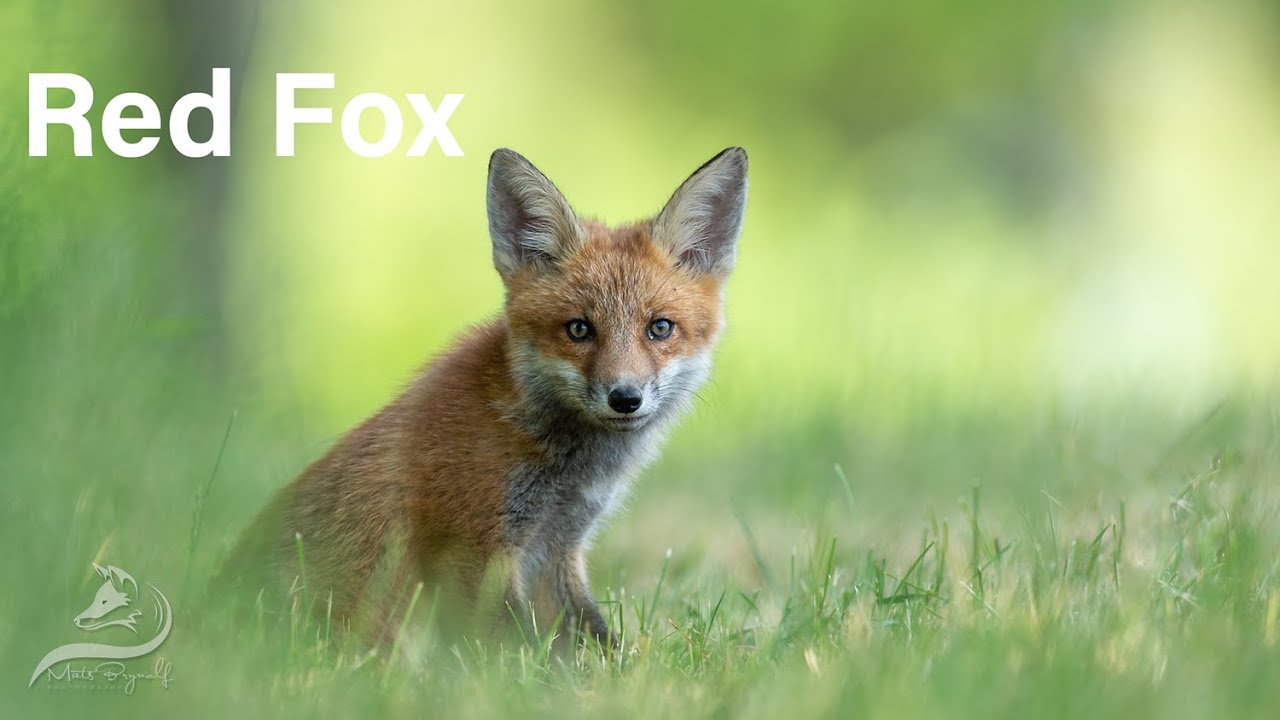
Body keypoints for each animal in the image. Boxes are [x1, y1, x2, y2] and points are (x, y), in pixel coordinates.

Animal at [222, 146, 748, 650]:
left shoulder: (556, 552)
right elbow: (520, 650)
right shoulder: (471, 549)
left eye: (659, 328)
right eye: (579, 329)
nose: (625, 398)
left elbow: (599, 644)